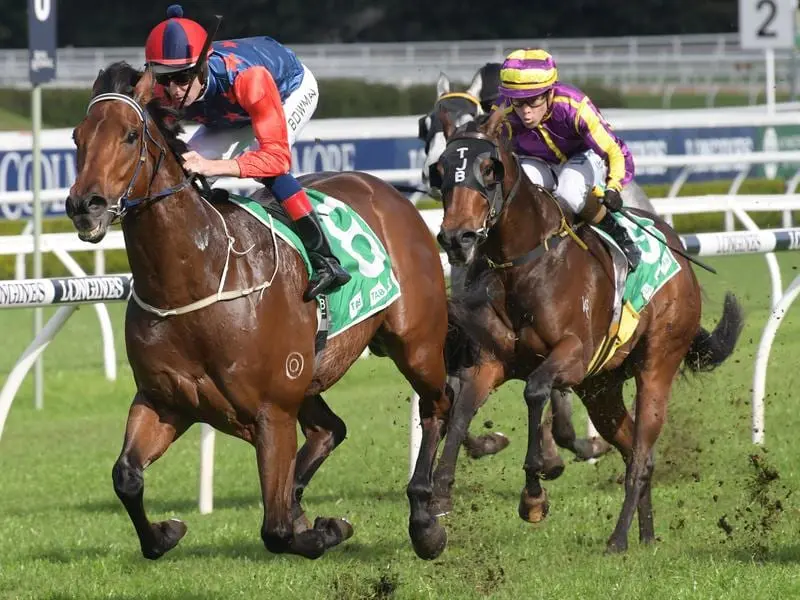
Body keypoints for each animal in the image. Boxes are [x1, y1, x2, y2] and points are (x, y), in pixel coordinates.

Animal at [66, 63, 466, 560]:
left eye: (130, 135)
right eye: (78, 137)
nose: (85, 206)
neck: (197, 277)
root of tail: (388, 191)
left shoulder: (271, 412)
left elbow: (275, 531)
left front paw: (326, 529)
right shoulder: (163, 401)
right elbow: (126, 477)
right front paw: (165, 532)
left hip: (416, 344)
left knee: (438, 404)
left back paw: (425, 520)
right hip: (310, 374)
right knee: (330, 430)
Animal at [432, 111, 744, 552]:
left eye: (489, 169)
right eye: (440, 170)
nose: (457, 238)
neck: (526, 264)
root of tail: (677, 248)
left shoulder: (573, 355)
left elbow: (535, 391)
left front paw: (534, 494)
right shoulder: (492, 361)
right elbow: (461, 410)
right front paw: (440, 493)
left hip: (656, 365)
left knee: (642, 454)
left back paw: (618, 538)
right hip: (602, 389)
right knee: (633, 450)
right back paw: (646, 534)